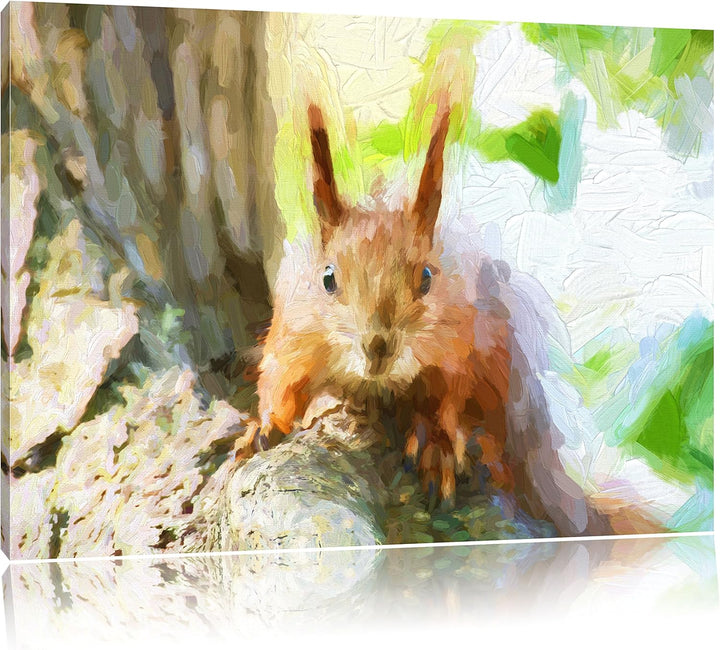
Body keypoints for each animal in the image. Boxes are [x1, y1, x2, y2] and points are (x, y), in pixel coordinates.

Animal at [234, 101, 611, 535]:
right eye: (327, 278)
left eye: (427, 277)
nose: (378, 347)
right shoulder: (293, 336)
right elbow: (279, 383)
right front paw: (266, 425)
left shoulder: (464, 345)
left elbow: (447, 399)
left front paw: (439, 447)